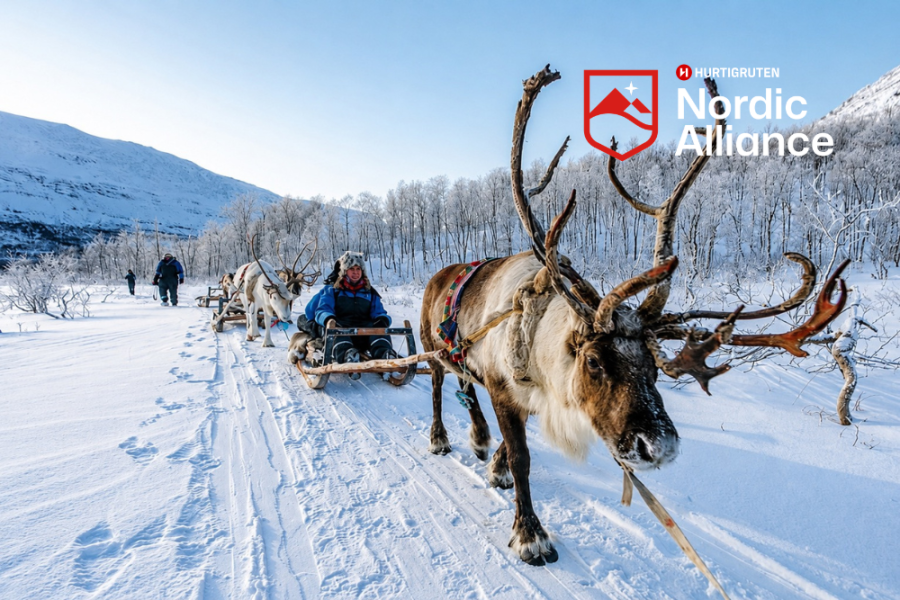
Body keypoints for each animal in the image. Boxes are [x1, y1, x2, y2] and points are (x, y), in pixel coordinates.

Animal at [419, 65, 848, 566]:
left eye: (654, 367)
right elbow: (523, 458)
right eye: (593, 361)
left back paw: (478, 438)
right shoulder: (504, 388)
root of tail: (437, 275)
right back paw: (441, 437)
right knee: (438, 384)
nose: (658, 448)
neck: (538, 338)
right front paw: (530, 534)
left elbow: (512, 443)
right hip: (430, 348)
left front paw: (495, 465)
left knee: (464, 384)